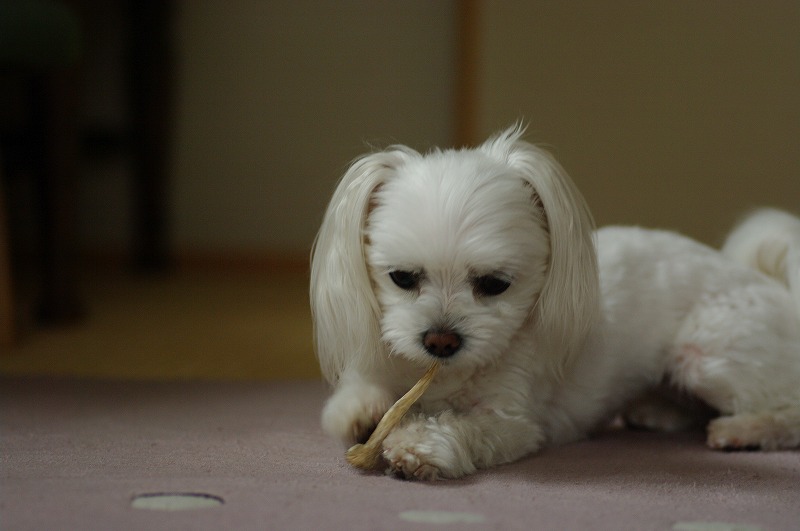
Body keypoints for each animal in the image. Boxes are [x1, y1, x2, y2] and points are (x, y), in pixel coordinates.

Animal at [310, 125, 800, 480]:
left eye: (495, 284)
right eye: (402, 278)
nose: (440, 340)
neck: (442, 377)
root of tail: (780, 290)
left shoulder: (515, 421)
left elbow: (466, 426)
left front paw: (416, 445)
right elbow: (354, 400)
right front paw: (365, 414)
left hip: (707, 352)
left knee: (787, 408)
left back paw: (745, 429)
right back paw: (656, 410)